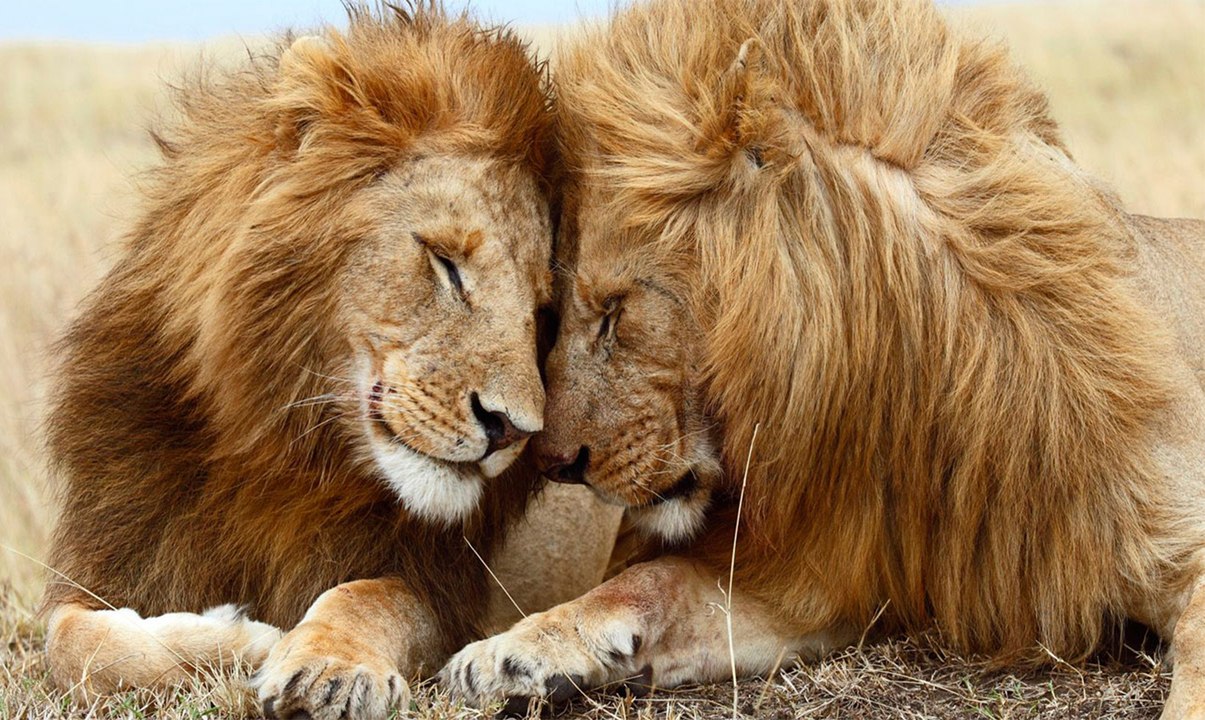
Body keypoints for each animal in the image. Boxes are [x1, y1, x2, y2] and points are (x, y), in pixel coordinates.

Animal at [41, 5, 621, 718]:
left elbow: (365, 597)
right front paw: (239, 639)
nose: (513, 429)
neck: (283, 446)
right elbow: (73, 643)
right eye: (445, 262)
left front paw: (325, 665)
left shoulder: (437, 586)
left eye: (541, 312)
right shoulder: (113, 553)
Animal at [441, 0, 1205, 717]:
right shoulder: (822, 575)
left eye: (614, 310)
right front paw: (507, 653)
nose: (552, 463)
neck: (913, 390)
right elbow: (650, 582)